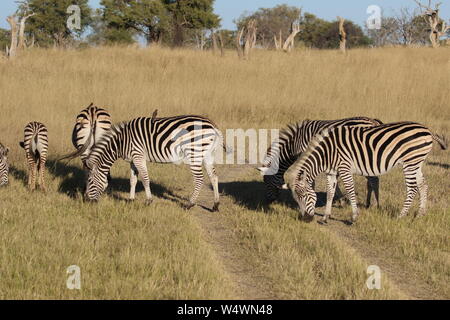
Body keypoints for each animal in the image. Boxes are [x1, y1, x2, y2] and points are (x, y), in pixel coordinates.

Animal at [84, 116, 225, 211]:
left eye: (90, 181)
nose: (86, 201)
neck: (121, 142)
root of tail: (212, 125)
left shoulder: (138, 156)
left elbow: (145, 179)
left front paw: (148, 201)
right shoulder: (133, 160)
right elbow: (133, 180)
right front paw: (130, 200)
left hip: (194, 153)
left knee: (199, 179)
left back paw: (189, 204)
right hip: (207, 154)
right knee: (214, 177)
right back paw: (215, 205)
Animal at [256, 116, 384, 211]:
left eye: (266, 181)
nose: (267, 201)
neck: (294, 144)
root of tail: (373, 121)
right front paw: (341, 201)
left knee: (374, 180)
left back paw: (375, 205)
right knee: (372, 181)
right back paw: (368, 204)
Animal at [284, 121, 446, 224]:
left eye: (303, 195)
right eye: (296, 198)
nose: (305, 220)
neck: (326, 153)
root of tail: (427, 130)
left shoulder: (344, 167)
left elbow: (350, 191)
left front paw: (354, 217)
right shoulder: (331, 172)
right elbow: (330, 192)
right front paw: (325, 217)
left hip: (410, 162)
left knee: (412, 188)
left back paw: (401, 216)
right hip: (417, 163)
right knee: (423, 185)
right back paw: (420, 215)